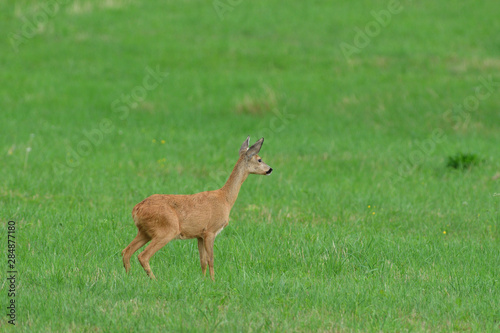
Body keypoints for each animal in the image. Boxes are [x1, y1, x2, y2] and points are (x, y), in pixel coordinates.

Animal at [121, 136, 274, 278]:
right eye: (259, 159)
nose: (270, 169)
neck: (225, 199)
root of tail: (136, 209)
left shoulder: (199, 235)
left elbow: (202, 261)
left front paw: (204, 280)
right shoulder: (210, 231)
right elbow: (211, 259)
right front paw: (213, 281)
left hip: (144, 231)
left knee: (126, 251)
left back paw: (129, 276)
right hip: (166, 229)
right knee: (143, 255)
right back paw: (154, 279)